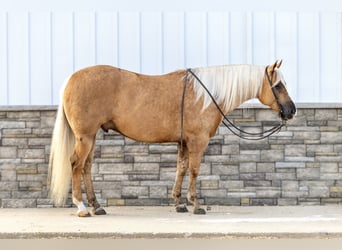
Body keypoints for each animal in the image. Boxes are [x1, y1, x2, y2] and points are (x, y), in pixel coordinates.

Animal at [48, 59, 296, 216]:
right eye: (278, 85)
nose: (291, 111)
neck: (207, 95)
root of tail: (71, 79)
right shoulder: (197, 141)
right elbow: (194, 170)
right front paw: (195, 204)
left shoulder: (183, 142)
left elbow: (181, 168)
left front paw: (178, 203)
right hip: (85, 137)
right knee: (76, 164)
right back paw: (81, 207)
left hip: (90, 137)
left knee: (86, 167)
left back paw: (96, 206)